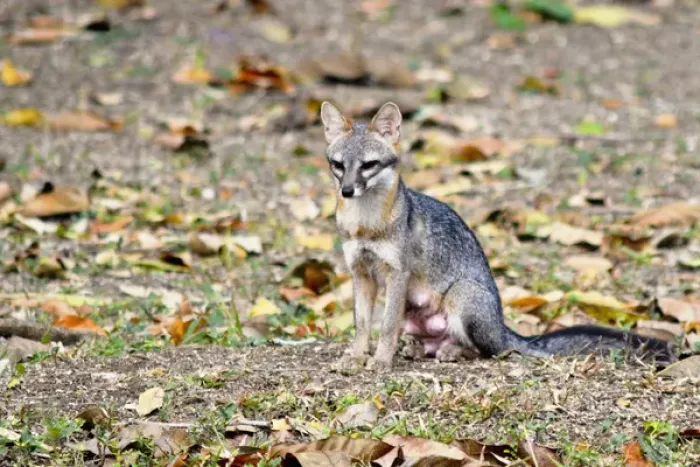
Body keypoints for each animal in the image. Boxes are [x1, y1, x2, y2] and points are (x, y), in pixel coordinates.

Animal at [320, 100, 675, 371]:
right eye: (339, 165)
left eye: (368, 165)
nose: (347, 190)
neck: (366, 225)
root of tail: (503, 327)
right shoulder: (361, 272)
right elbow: (362, 324)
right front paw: (357, 356)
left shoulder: (397, 273)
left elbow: (386, 326)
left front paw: (380, 361)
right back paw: (420, 349)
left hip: (462, 298)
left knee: (495, 350)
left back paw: (454, 351)